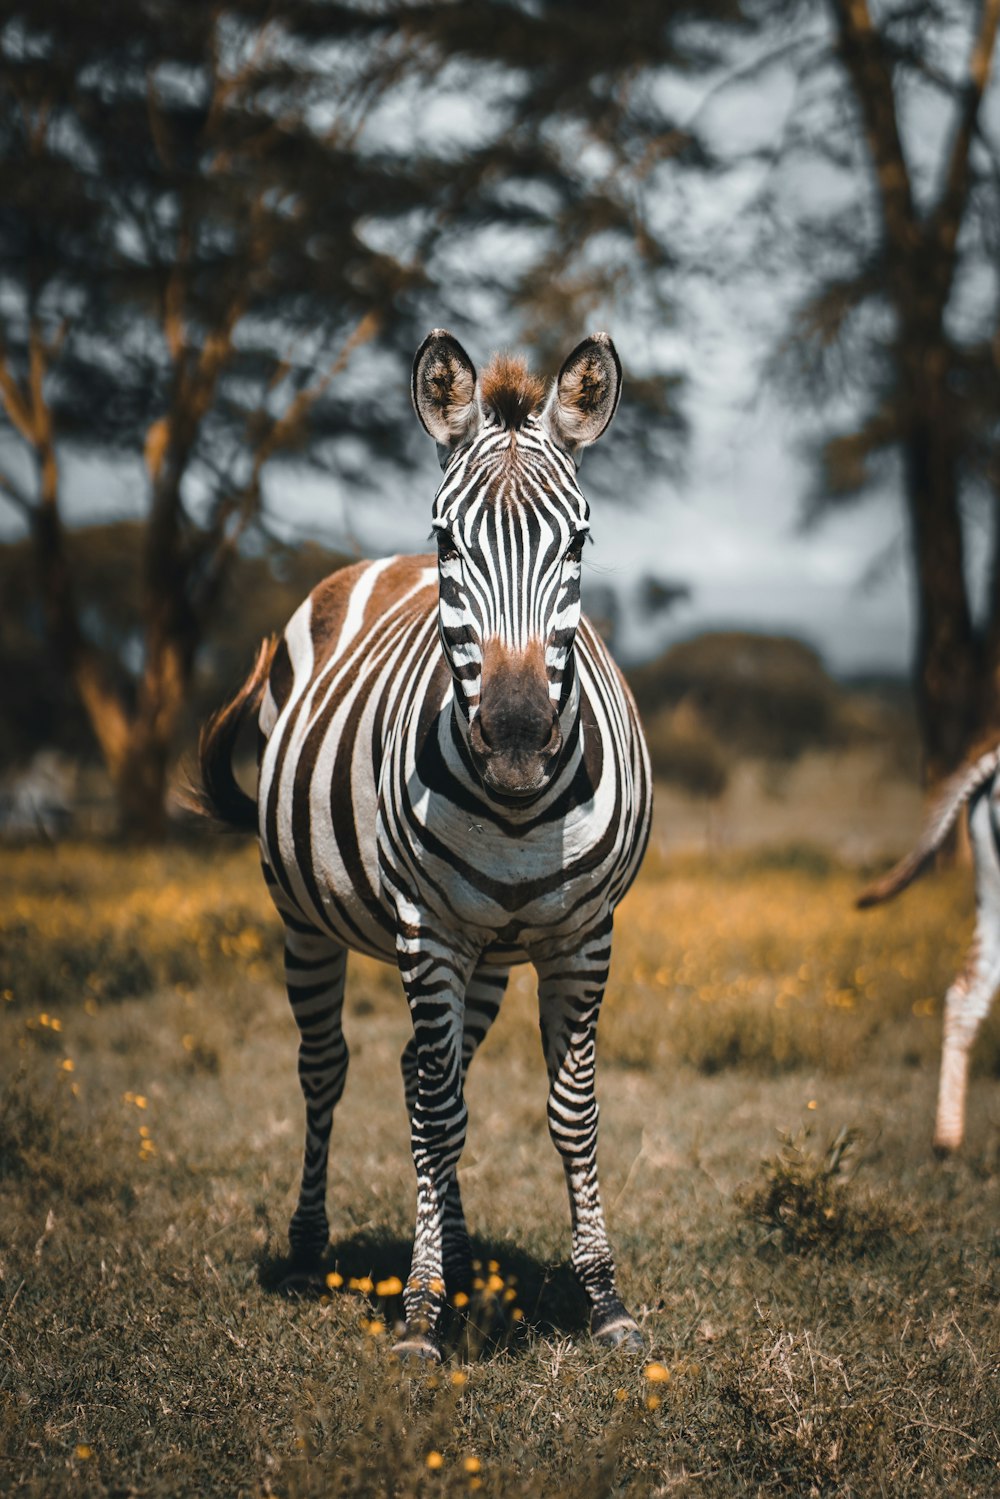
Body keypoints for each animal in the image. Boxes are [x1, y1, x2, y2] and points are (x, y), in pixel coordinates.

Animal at [200, 331, 656, 1361]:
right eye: (451, 542)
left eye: (580, 541)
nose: (520, 736)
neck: (522, 810)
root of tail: (369, 564)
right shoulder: (427, 931)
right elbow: (440, 1114)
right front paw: (419, 1312)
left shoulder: (585, 936)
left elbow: (572, 1114)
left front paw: (605, 1298)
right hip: (306, 918)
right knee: (333, 1068)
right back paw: (312, 1249)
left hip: (488, 951)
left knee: (421, 1073)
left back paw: (455, 1242)